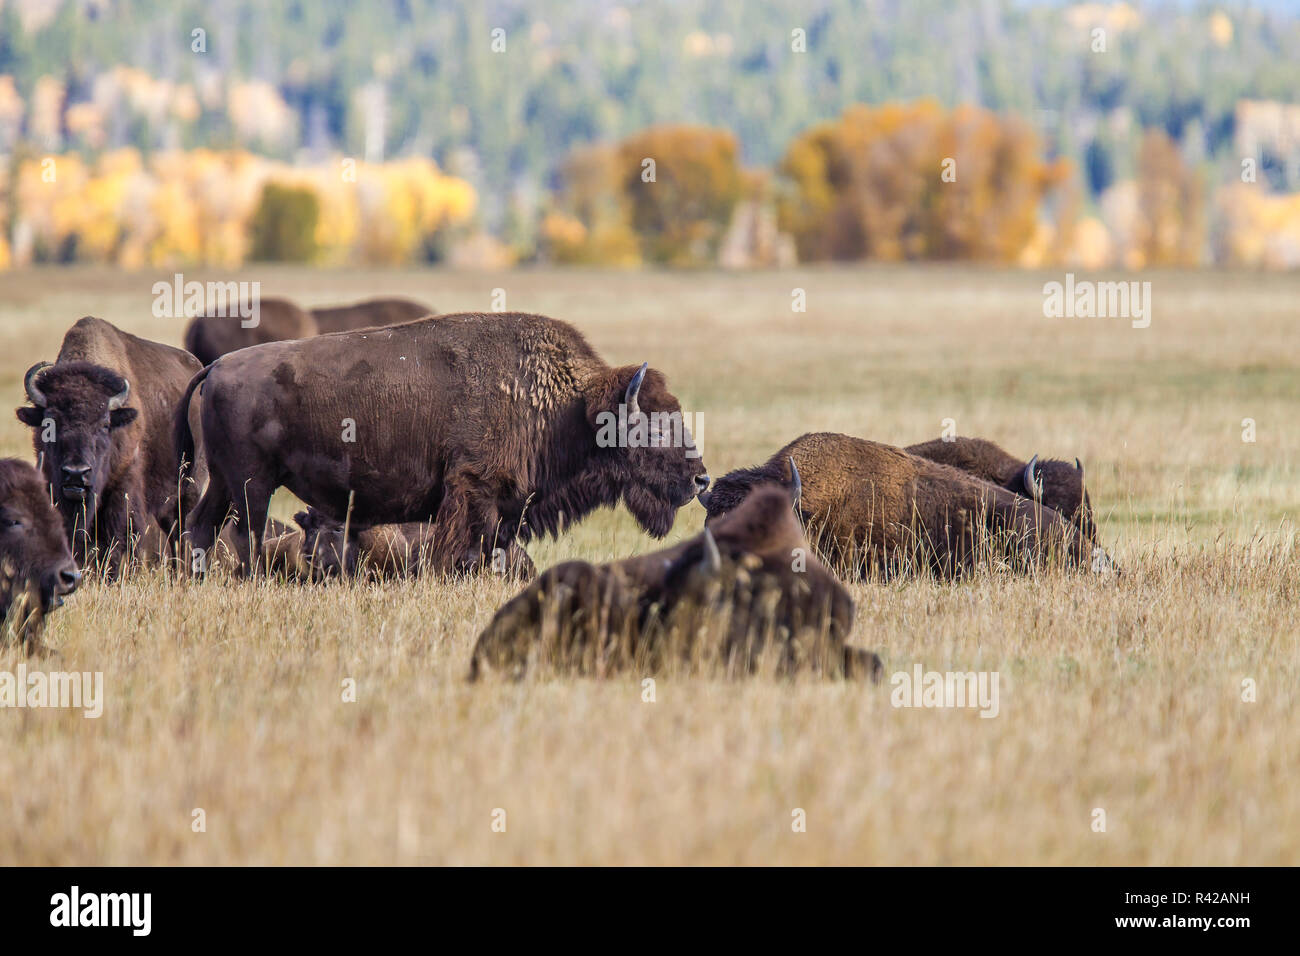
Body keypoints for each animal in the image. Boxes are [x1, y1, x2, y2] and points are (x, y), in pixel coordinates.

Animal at [17, 317, 202, 574]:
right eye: (48, 423)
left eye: (105, 424)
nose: (76, 474)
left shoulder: (123, 488)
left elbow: (116, 538)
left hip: (189, 487)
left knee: (181, 530)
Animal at [176, 312, 710, 576]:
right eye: (652, 427)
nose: (701, 478)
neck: (570, 406)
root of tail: (216, 366)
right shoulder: (475, 489)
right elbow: (467, 547)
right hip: (253, 485)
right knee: (243, 536)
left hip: (225, 484)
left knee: (202, 528)